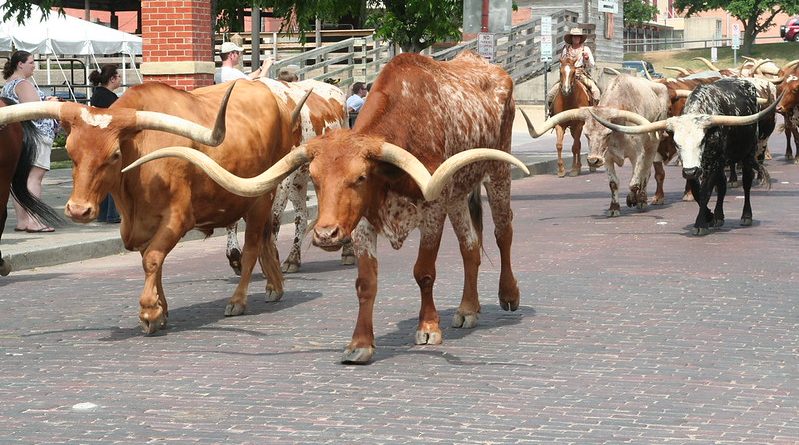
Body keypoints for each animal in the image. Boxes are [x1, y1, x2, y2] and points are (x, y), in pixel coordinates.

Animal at [0, 80, 308, 333]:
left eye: (114, 155)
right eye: (71, 153)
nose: (78, 210)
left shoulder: (177, 218)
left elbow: (152, 259)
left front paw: (149, 312)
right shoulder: (140, 225)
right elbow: (152, 261)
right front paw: (162, 310)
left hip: (261, 197)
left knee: (252, 246)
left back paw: (238, 300)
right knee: (266, 238)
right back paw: (274, 285)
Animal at [223, 78, 353, 275]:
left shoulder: (283, 181)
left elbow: (275, 219)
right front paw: (236, 258)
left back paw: (348, 253)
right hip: (299, 180)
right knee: (302, 216)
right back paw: (293, 259)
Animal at [523, 74, 670, 216]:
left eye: (607, 133)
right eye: (586, 135)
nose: (593, 160)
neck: (618, 131)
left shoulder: (638, 155)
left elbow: (635, 182)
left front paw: (632, 199)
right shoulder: (607, 158)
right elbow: (613, 183)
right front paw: (614, 208)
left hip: (652, 146)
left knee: (645, 174)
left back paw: (642, 200)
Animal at [589, 78, 781, 236]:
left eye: (702, 140)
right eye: (677, 143)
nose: (690, 171)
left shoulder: (710, 164)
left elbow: (705, 191)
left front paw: (700, 224)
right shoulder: (697, 167)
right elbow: (697, 191)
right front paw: (709, 216)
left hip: (748, 153)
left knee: (747, 184)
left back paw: (746, 216)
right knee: (722, 186)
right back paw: (719, 216)